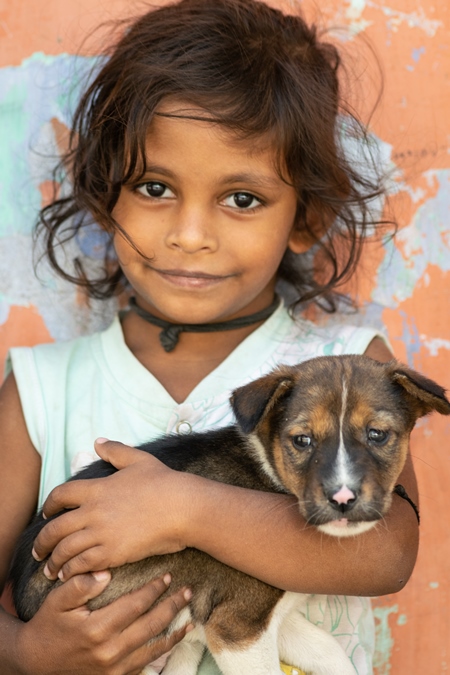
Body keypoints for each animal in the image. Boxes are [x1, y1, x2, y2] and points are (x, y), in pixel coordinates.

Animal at [9, 356, 450, 672]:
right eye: (302, 440)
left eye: (377, 435)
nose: (343, 498)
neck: (268, 468)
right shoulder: (237, 627)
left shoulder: (270, 620)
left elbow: (331, 653)